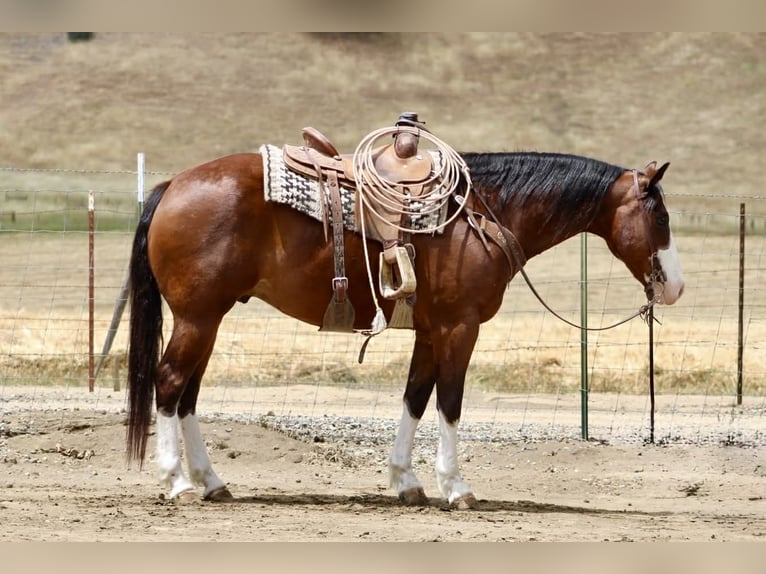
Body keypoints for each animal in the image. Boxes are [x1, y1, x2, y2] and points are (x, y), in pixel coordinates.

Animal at [126, 148, 685, 509]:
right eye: (660, 217)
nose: (675, 286)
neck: (481, 215)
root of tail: (172, 186)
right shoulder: (460, 328)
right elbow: (450, 402)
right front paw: (456, 487)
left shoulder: (430, 331)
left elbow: (415, 397)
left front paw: (405, 481)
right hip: (199, 318)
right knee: (170, 384)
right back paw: (177, 483)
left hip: (208, 319)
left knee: (188, 394)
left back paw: (212, 481)